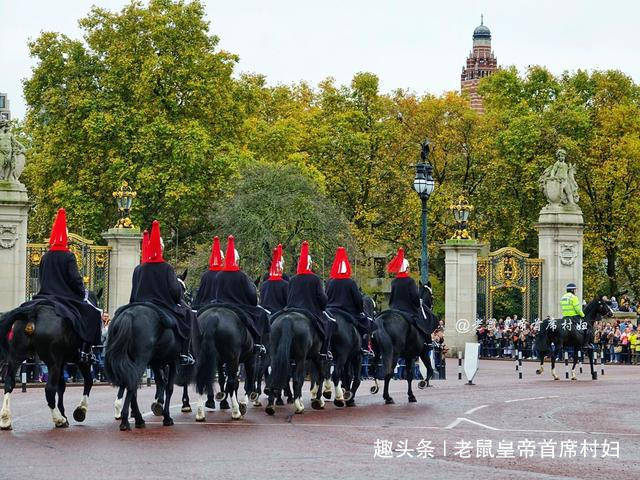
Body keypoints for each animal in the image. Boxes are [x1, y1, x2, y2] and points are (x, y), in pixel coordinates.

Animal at [0, 288, 102, 432]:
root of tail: (34, 311)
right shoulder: (81, 361)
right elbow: (88, 381)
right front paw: (80, 411)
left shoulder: (62, 362)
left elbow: (62, 386)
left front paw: (64, 413)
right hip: (53, 363)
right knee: (49, 389)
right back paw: (59, 420)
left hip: (17, 357)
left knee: (9, 383)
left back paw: (5, 420)